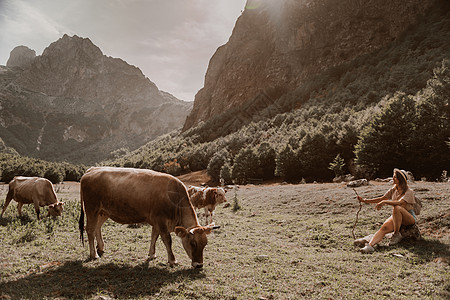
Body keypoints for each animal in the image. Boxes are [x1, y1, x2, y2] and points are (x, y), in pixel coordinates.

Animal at [78, 168, 216, 268]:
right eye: (193, 243)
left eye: (205, 243)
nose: (199, 265)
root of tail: (91, 170)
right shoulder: (161, 220)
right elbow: (167, 239)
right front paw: (172, 260)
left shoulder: (156, 221)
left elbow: (154, 236)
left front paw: (152, 254)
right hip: (92, 208)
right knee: (90, 229)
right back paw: (94, 254)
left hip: (103, 212)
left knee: (97, 227)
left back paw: (101, 248)